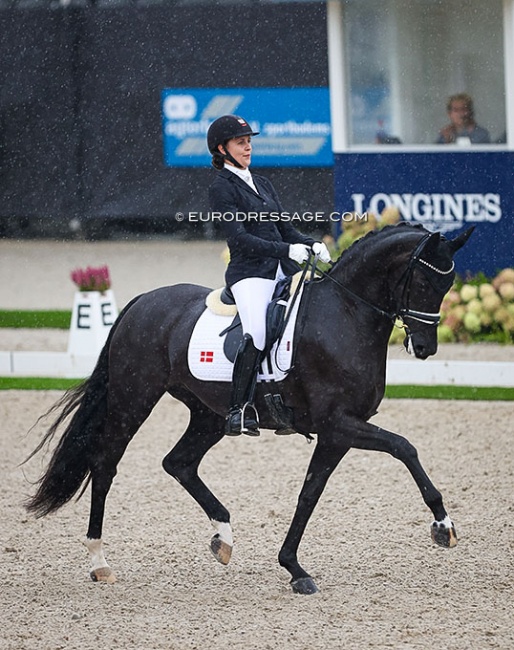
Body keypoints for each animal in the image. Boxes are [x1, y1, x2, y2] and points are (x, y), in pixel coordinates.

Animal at [24, 221, 472, 592]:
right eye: (424, 282)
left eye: (447, 286)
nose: (426, 348)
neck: (346, 314)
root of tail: (142, 301)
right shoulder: (340, 423)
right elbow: (404, 447)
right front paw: (442, 525)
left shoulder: (337, 432)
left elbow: (309, 494)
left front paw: (293, 567)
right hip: (133, 400)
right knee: (105, 465)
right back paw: (99, 562)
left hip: (208, 415)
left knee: (179, 462)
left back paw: (223, 536)